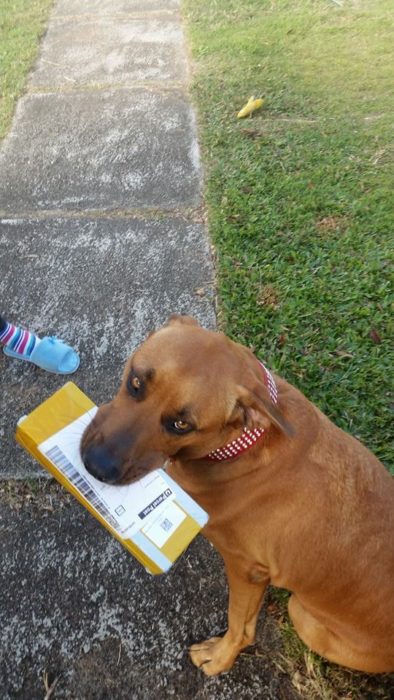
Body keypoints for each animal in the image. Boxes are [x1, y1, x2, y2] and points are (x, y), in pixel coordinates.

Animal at [80, 316, 394, 672]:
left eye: (181, 425)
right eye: (135, 382)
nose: (95, 465)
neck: (240, 445)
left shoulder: (247, 570)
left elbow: (239, 624)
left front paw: (221, 658)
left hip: (302, 615)